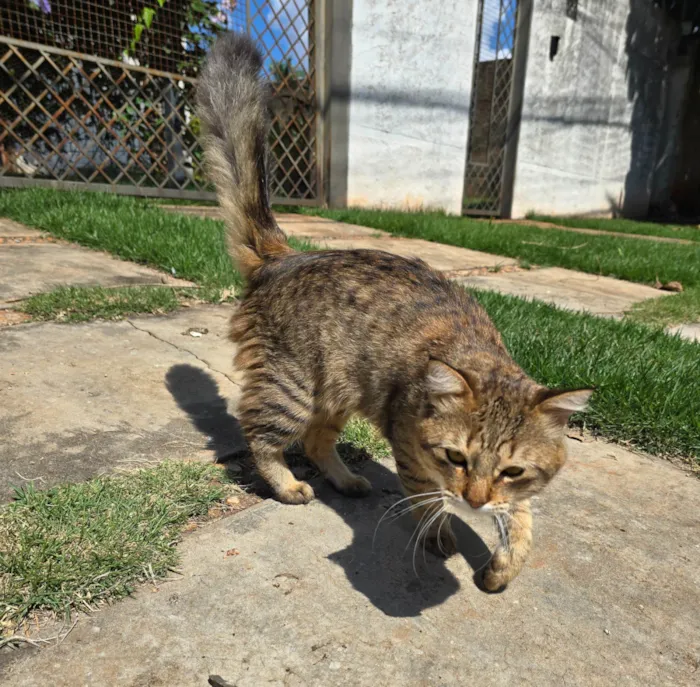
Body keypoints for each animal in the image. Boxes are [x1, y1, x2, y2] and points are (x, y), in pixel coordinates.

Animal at [196, 33, 592, 592]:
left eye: (510, 471)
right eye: (455, 458)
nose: (473, 501)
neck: (476, 353)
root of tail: (286, 254)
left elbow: (522, 516)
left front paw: (506, 561)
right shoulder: (411, 451)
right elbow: (425, 495)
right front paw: (439, 532)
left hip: (336, 393)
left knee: (316, 442)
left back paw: (345, 479)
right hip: (291, 388)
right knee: (260, 434)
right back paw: (288, 485)